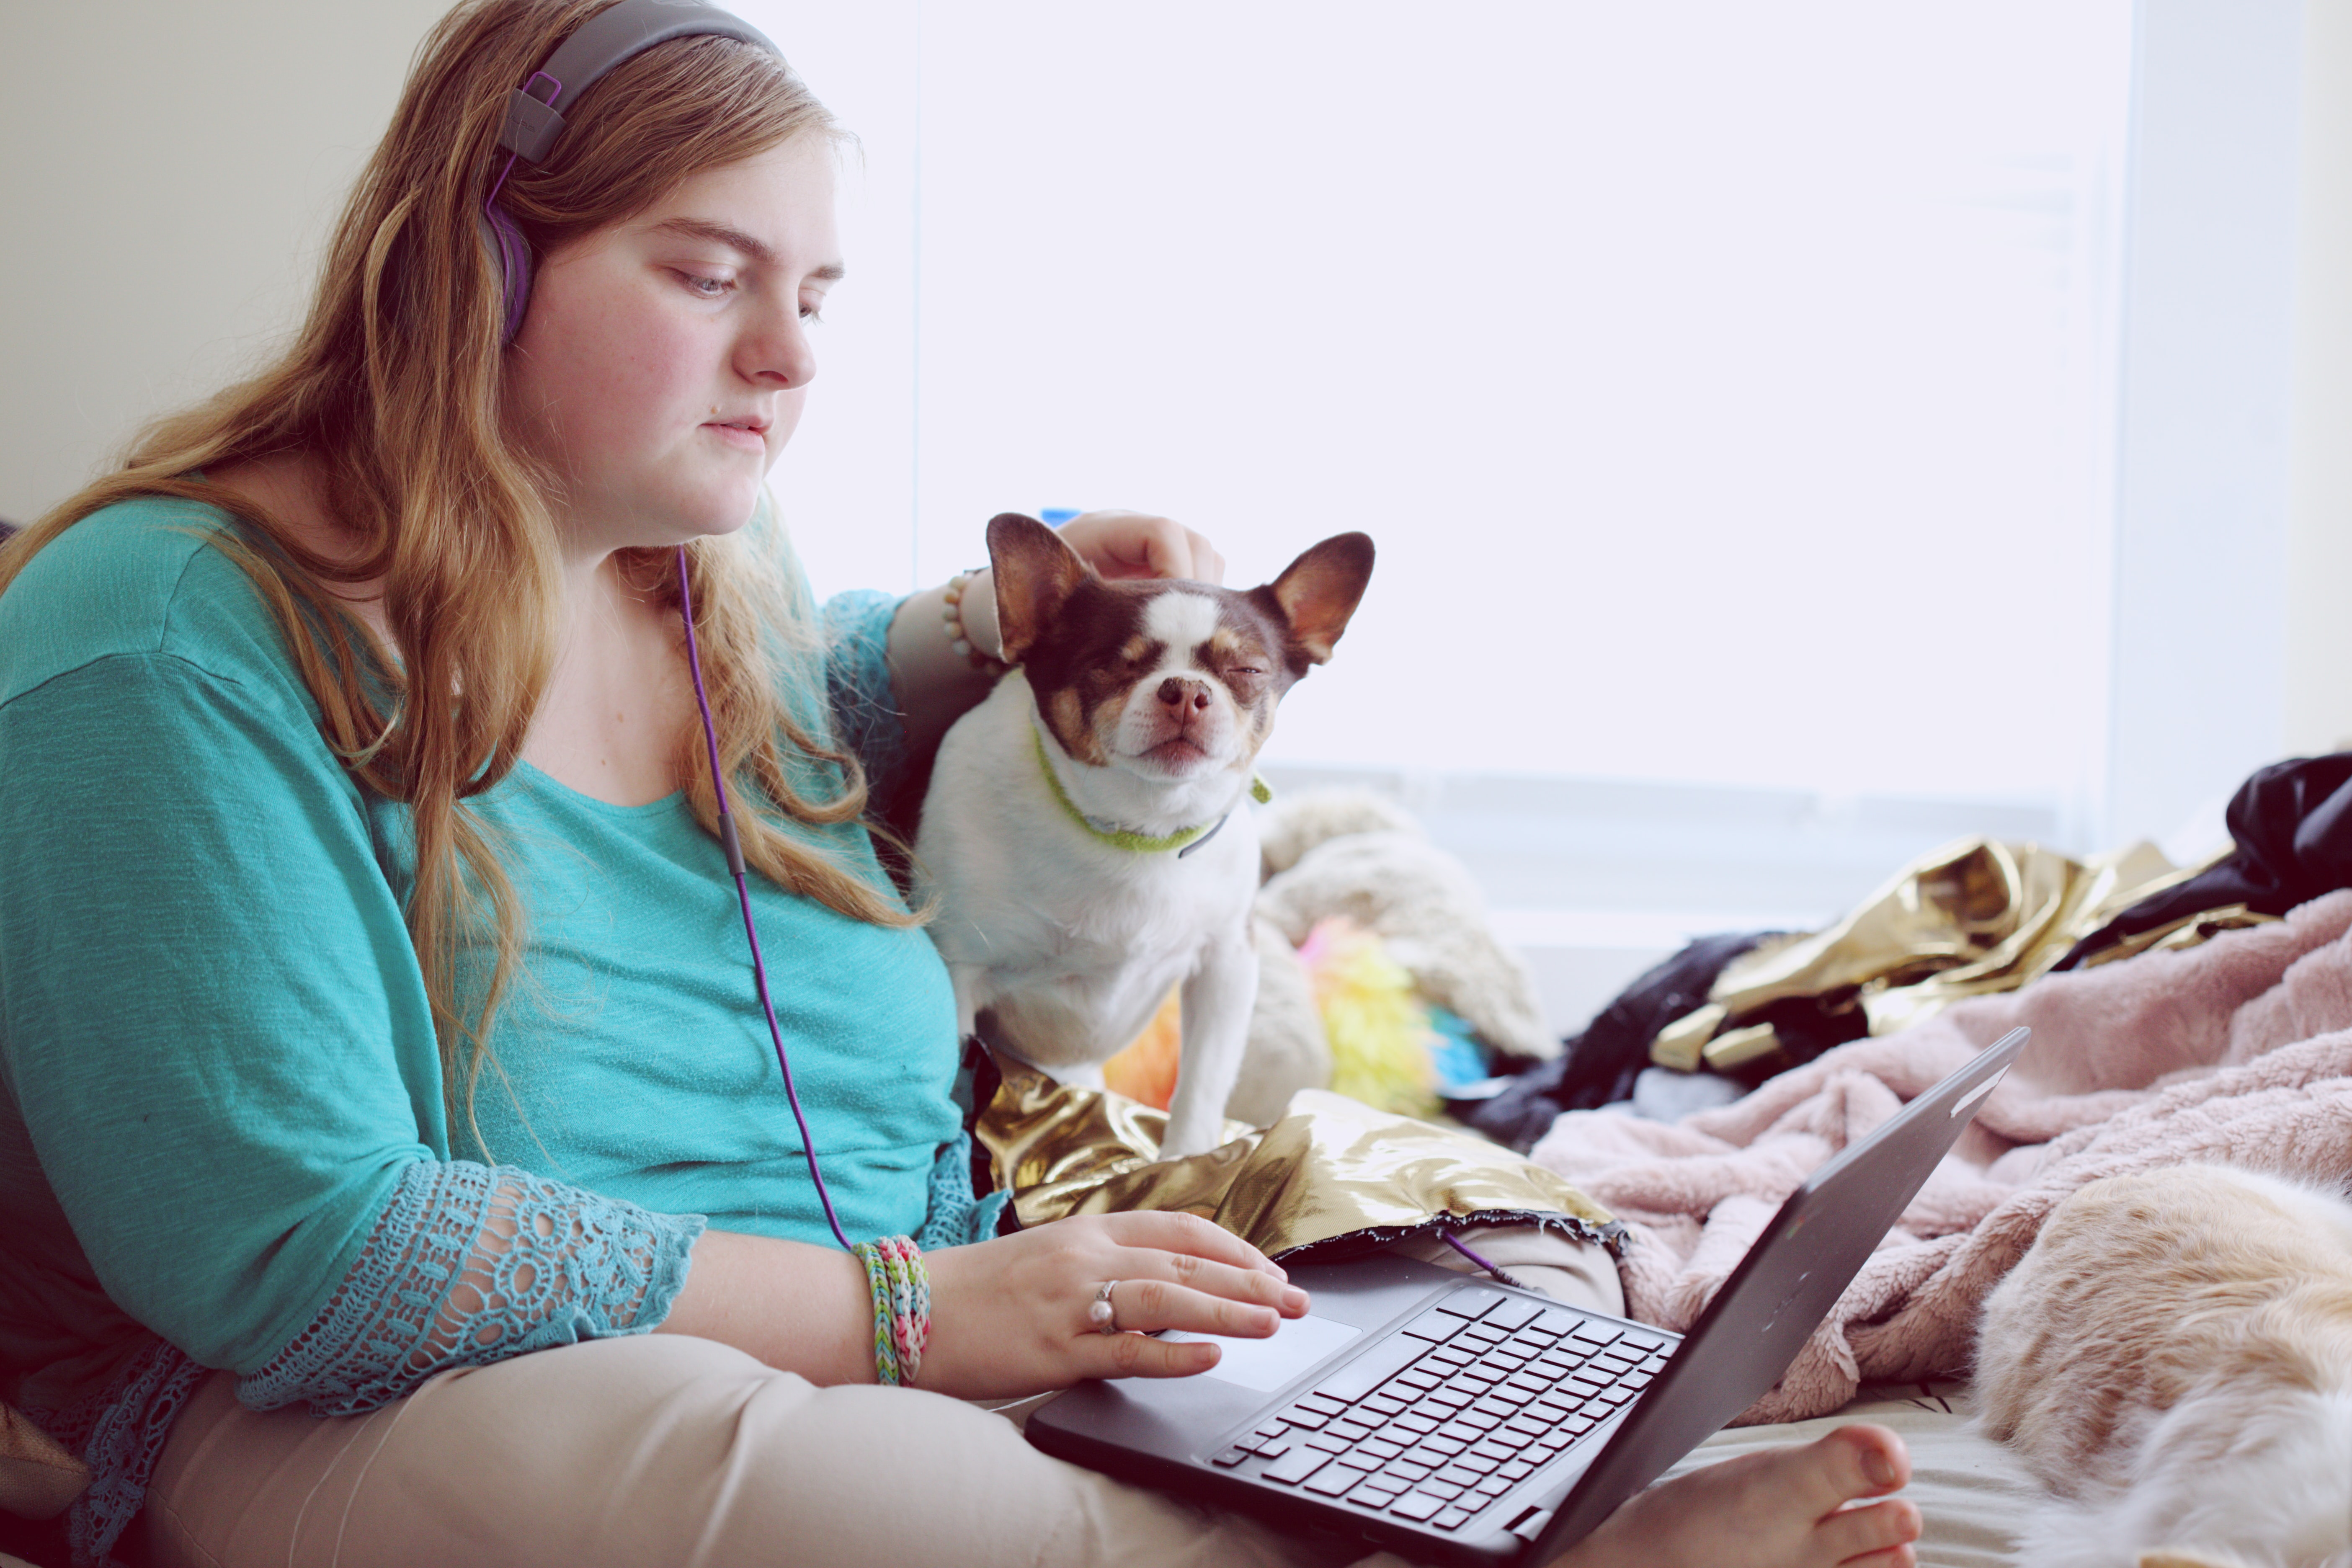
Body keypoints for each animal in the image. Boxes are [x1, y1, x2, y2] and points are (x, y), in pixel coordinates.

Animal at [908, 515, 1373, 1166]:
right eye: (1109, 665)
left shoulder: (1227, 965)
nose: (1186, 690)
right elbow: (952, 1085)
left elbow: (1202, 1082)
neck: (1138, 832)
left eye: (1248, 672)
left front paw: (1185, 1161)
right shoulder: (959, 972)